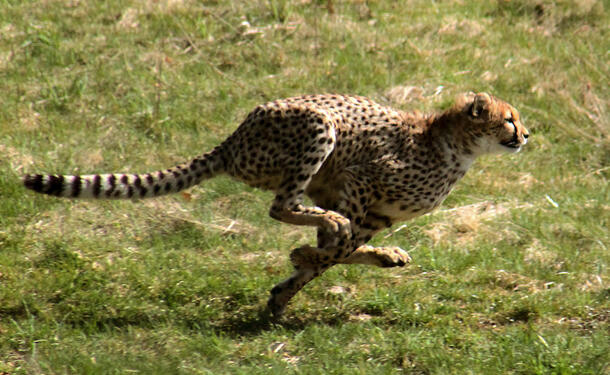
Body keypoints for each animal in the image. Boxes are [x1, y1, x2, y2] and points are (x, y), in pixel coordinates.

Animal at [25, 91, 528, 318]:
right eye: (508, 119)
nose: (527, 134)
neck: (454, 147)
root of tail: (232, 140)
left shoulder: (372, 210)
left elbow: (338, 251)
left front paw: (286, 288)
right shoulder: (358, 181)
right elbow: (336, 244)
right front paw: (300, 259)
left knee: (306, 214)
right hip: (318, 127)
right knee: (282, 206)